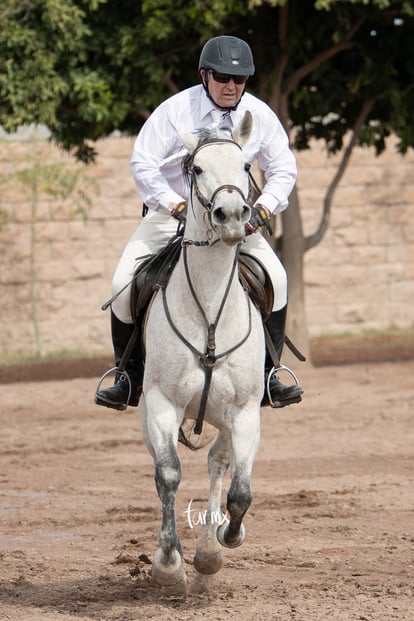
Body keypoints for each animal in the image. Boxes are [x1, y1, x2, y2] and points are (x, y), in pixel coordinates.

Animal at [141, 111, 264, 592]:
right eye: (195, 168)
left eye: (246, 165)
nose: (231, 217)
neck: (210, 308)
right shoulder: (161, 404)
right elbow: (168, 474)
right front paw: (167, 562)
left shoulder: (246, 410)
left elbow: (240, 489)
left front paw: (226, 540)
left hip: (227, 417)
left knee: (219, 462)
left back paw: (211, 547)